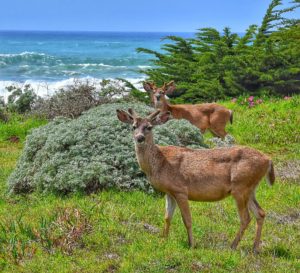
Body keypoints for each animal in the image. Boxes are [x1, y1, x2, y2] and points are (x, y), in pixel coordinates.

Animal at [116, 107, 276, 252]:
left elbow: (187, 220)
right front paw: (163, 239)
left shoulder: (180, 190)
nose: (139, 138)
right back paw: (255, 248)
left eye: (149, 127)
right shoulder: (169, 192)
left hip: (240, 186)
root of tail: (268, 160)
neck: (160, 162)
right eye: (133, 126)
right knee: (260, 213)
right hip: (250, 188)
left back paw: (233, 246)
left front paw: (191, 244)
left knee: (246, 217)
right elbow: (167, 217)